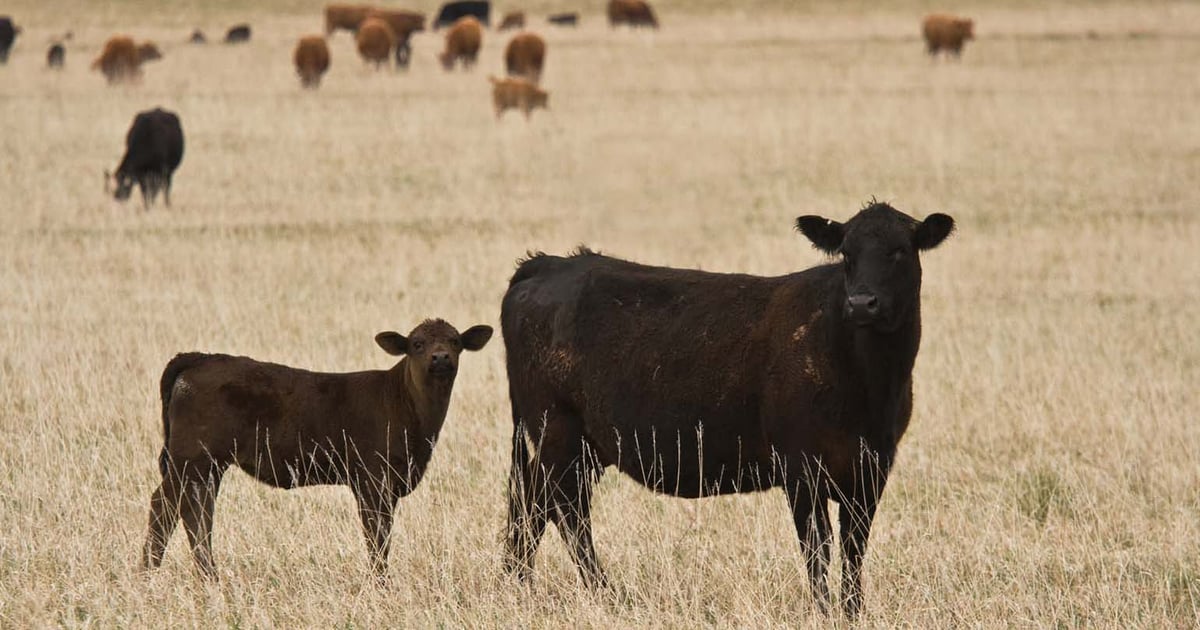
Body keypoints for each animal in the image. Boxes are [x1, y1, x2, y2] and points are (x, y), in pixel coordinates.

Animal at [140, 319, 493, 579]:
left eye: (455, 342)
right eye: (417, 344)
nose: (440, 357)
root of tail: (200, 357)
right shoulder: (373, 479)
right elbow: (377, 536)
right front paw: (379, 584)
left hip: (206, 464)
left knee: (192, 510)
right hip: (193, 458)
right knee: (168, 506)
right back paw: (163, 574)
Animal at [500, 201, 954, 617]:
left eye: (900, 250)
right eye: (846, 253)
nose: (861, 303)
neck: (868, 382)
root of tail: (548, 264)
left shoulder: (872, 466)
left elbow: (854, 544)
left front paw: (854, 610)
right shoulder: (800, 468)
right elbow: (817, 546)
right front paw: (825, 612)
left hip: (582, 445)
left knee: (541, 505)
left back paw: (532, 585)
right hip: (557, 431)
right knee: (557, 508)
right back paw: (586, 591)